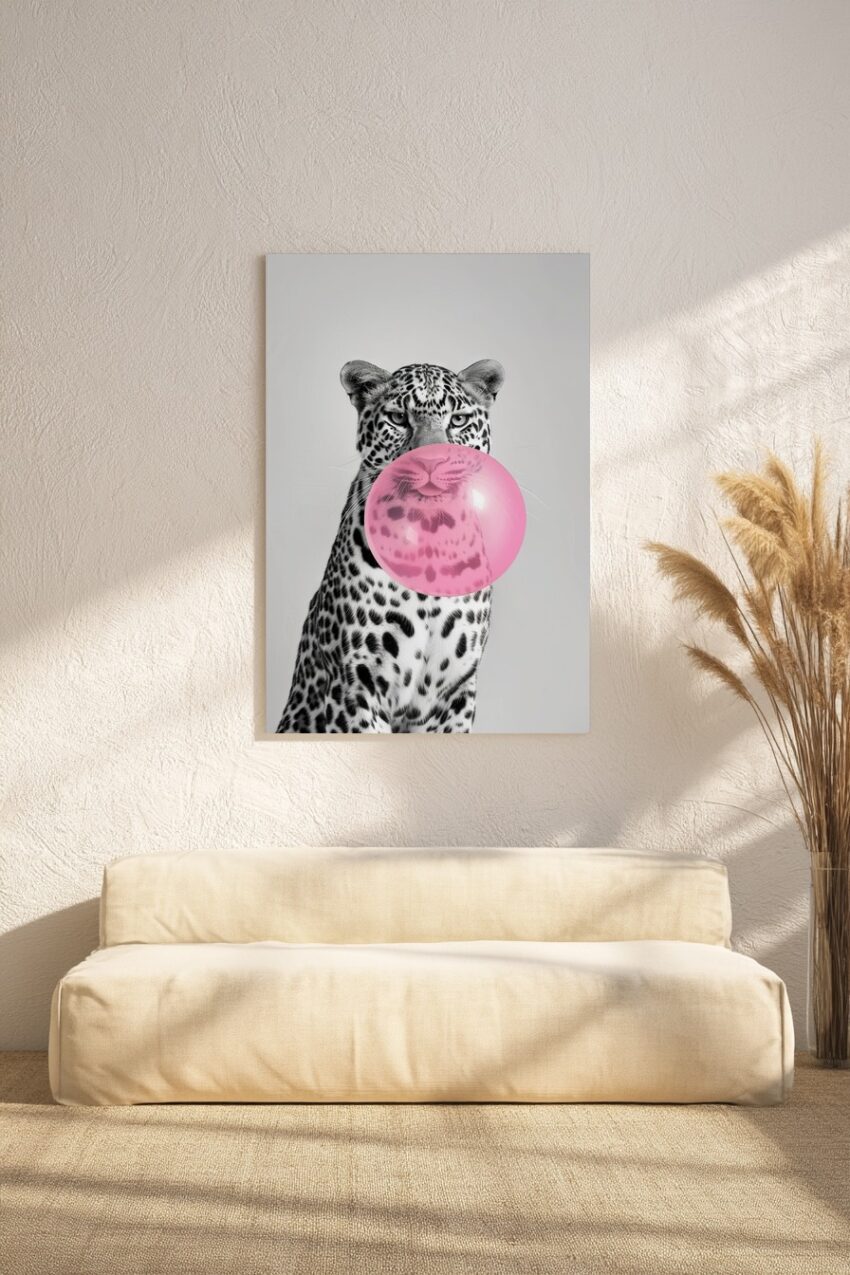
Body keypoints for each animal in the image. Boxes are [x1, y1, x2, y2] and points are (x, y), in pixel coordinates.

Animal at [276, 359, 505, 733]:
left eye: (458, 420)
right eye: (398, 418)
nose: (431, 462)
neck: (429, 542)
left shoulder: (455, 692)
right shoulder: (357, 682)